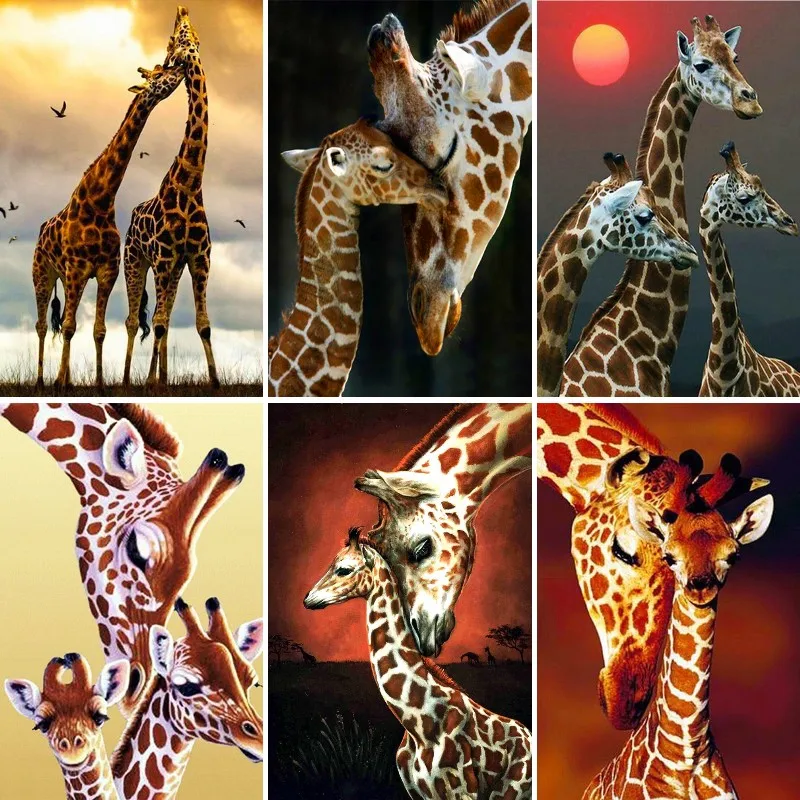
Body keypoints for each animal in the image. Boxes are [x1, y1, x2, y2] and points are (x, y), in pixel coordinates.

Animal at [32, 60, 185, 389]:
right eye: (158, 74)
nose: (179, 66)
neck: (99, 202)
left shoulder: (106, 271)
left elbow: (97, 330)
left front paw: (99, 383)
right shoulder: (78, 269)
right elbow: (68, 326)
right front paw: (60, 384)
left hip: (64, 277)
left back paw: (65, 379)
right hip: (43, 272)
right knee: (42, 325)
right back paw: (42, 381)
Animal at [122, 7, 218, 389]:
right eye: (178, 37)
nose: (182, 10)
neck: (189, 183)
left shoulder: (199, 257)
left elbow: (202, 325)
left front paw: (215, 382)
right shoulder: (163, 257)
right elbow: (158, 323)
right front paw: (150, 383)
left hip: (174, 269)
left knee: (163, 316)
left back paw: (160, 377)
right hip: (136, 261)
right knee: (136, 319)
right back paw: (130, 379)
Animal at [304, 528, 532, 800]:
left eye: (343, 569)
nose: (308, 599)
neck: (417, 724)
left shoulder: (461, 790)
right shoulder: (417, 791)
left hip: (510, 790)